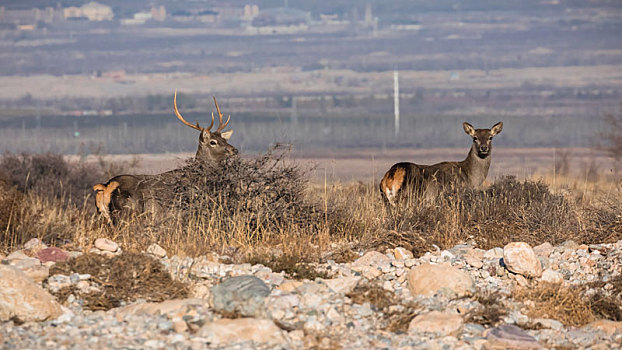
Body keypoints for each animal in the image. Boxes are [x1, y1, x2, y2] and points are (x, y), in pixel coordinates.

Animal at [380, 122, 508, 206]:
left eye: (490, 137)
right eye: (474, 138)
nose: (484, 148)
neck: (470, 177)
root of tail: (390, 178)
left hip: (386, 201)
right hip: (410, 197)